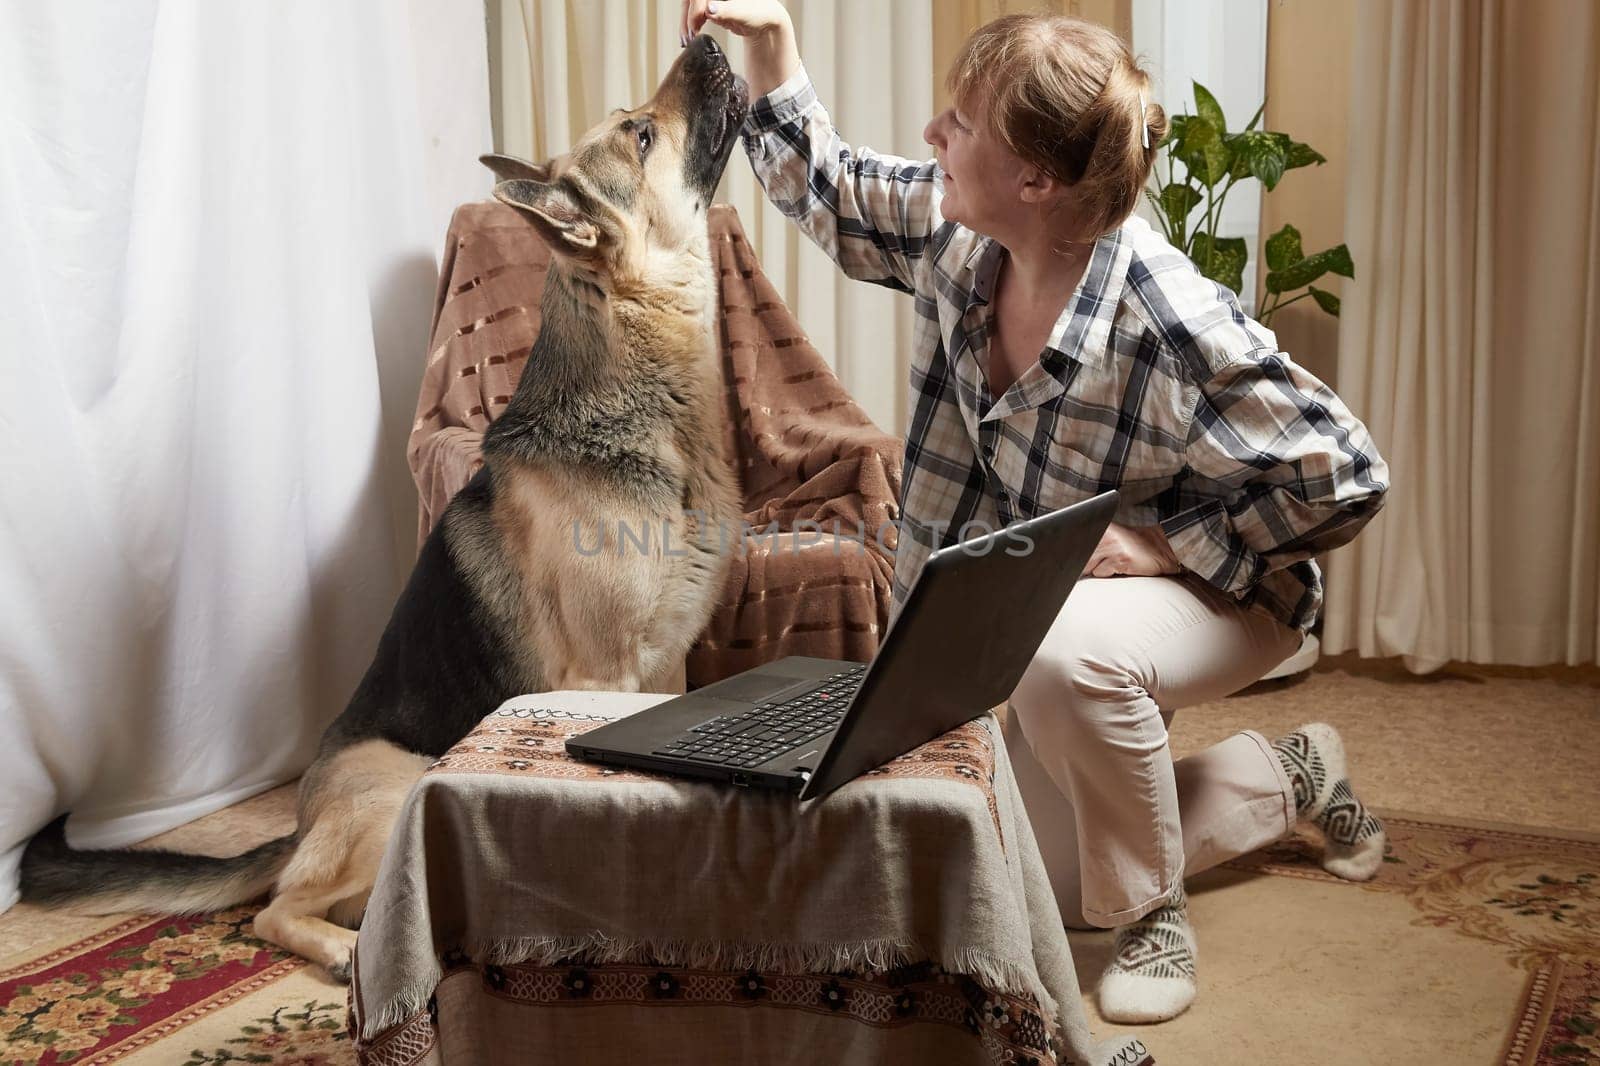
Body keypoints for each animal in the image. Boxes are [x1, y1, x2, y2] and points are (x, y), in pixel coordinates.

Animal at [20, 35, 748, 979]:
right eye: (641, 133)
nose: (708, 39)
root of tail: (299, 820)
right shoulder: (604, 677)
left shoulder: (668, 670)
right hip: (400, 780)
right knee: (277, 908)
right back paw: (340, 954)